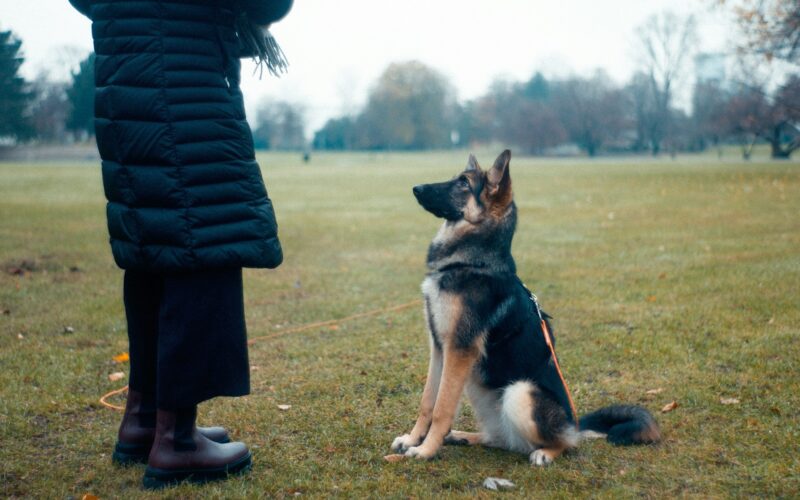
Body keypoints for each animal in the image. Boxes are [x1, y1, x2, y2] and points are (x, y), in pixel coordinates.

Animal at [390, 148, 660, 464]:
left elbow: (442, 409)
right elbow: (428, 402)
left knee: (565, 443)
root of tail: (574, 423)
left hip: (519, 392)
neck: (472, 261)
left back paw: (546, 452)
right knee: (501, 439)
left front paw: (425, 450)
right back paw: (463, 436)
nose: (416, 188)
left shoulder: (459, 349)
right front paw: (413, 439)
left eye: (464, 184)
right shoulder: (440, 348)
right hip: (479, 388)